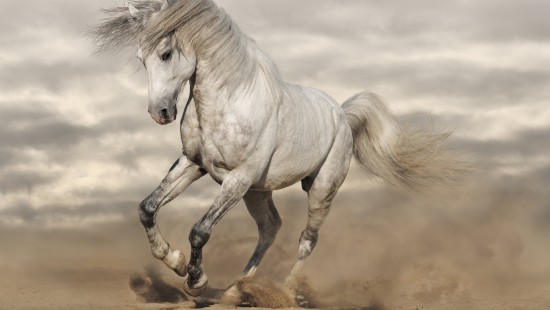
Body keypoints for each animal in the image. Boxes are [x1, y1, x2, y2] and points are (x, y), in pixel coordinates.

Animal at [94, 0, 466, 302]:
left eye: (166, 53)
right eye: (141, 59)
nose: (160, 113)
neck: (229, 101)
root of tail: (343, 115)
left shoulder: (238, 179)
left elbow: (200, 230)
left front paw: (196, 280)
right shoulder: (194, 164)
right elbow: (147, 208)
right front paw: (173, 259)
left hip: (319, 189)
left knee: (306, 239)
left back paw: (285, 291)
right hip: (258, 193)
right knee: (271, 228)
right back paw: (236, 291)